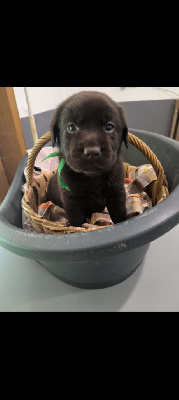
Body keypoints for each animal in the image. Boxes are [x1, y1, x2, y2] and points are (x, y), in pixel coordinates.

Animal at [47, 92, 129, 227]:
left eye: (109, 127)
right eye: (71, 127)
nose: (92, 152)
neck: (92, 177)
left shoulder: (117, 193)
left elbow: (119, 213)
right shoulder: (71, 200)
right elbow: (77, 220)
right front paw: (76, 228)